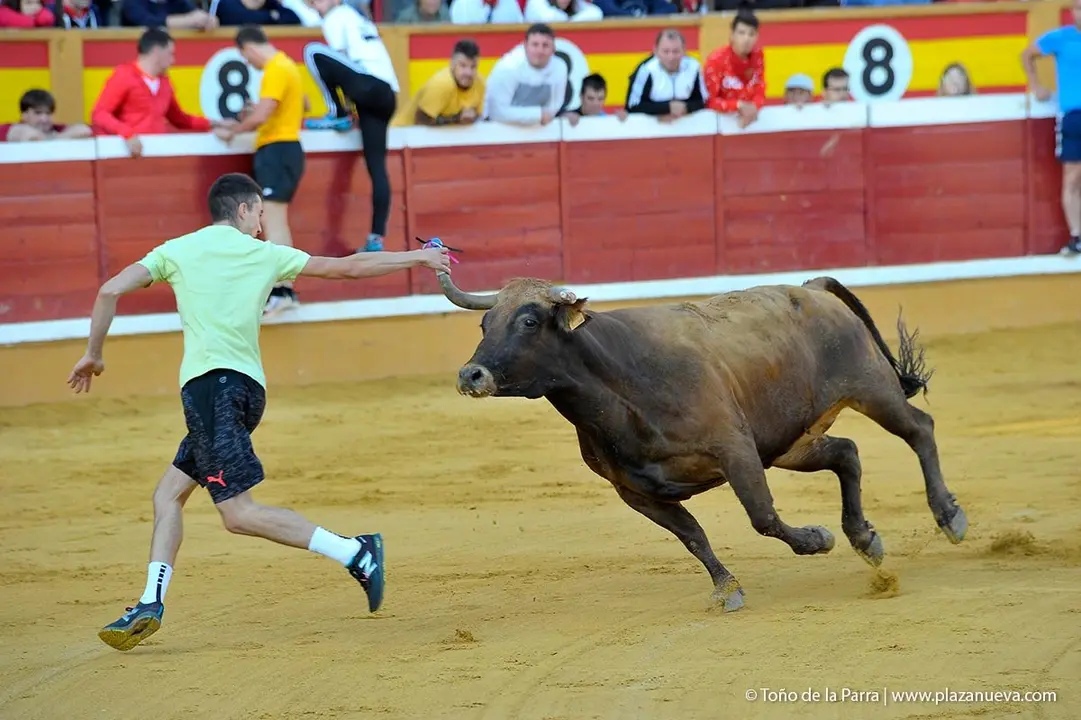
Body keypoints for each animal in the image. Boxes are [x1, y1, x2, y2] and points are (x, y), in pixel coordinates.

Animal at [435, 271, 968, 611]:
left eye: (528, 321)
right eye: (485, 323)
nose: (470, 374)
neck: (619, 381)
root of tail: (812, 289)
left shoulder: (735, 451)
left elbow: (763, 518)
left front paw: (817, 539)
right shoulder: (634, 491)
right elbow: (692, 536)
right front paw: (727, 589)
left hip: (871, 388)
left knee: (919, 429)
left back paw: (949, 516)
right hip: (788, 442)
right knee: (847, 454)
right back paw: (865, 538)